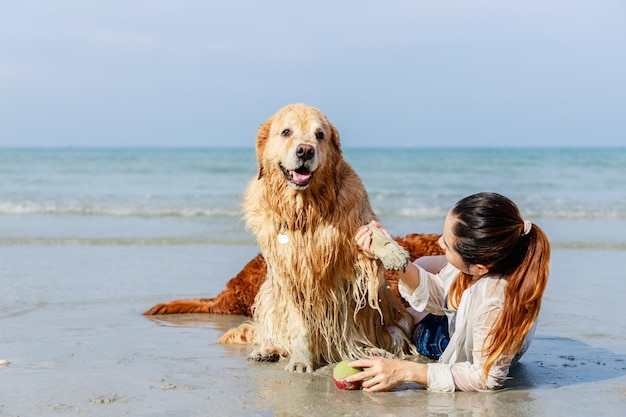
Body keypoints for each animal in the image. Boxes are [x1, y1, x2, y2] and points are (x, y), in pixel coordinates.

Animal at [144, 103, 444, 370]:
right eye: (286, 132)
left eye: (320, 134)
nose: (305, 150)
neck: (305, 211)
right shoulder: (290, 277)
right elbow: (300, 329)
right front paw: (301, 359)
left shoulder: (354, 235)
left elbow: (373, 236)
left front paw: (393, 251)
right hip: (268, 292)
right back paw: (269, 351)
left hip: (393, 318)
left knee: (376, 338)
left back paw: (372, 350)